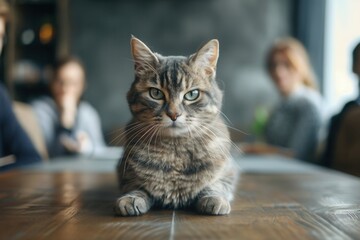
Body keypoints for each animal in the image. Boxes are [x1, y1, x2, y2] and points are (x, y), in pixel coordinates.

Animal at [115, 37, 238, 216]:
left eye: (192, 94)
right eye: (156, 93)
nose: (174, 114)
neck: (175, 151)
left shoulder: (228, 171)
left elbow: (215, 184)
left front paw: (214, 198)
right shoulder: (124, 172)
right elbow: (137, 186)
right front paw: (131, 198)